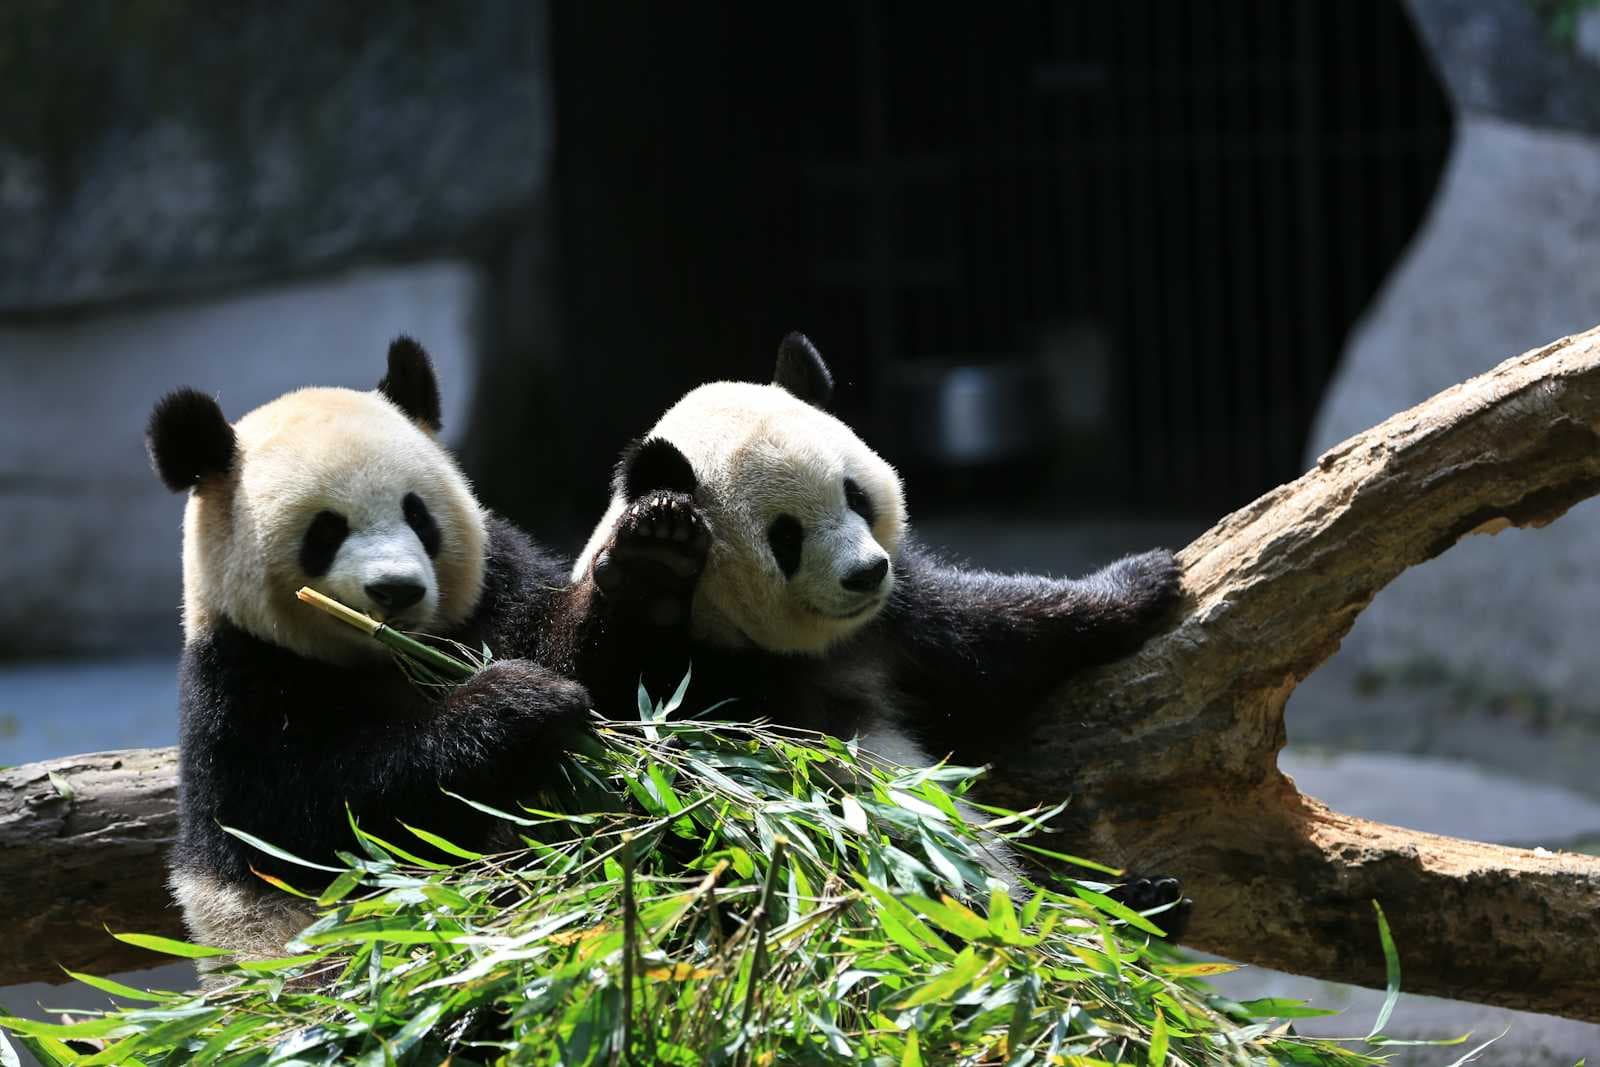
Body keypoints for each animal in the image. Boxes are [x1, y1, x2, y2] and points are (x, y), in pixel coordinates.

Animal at [147, 338, 592, 963]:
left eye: (417, 513)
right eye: (325, 531)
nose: (397, 590)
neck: (390, 655)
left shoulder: (496, 592)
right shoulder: (239, 686)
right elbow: (333, 818)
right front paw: (517, 701)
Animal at [571, 333, 1190, 931]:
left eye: (856, 496)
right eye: (786, 537)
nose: (867, 572)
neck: (786, 647)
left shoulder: (893, 626)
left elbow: (997, 638)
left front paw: (1142, 578)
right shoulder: (692, 678)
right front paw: (654, 560)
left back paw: (1145, 901)